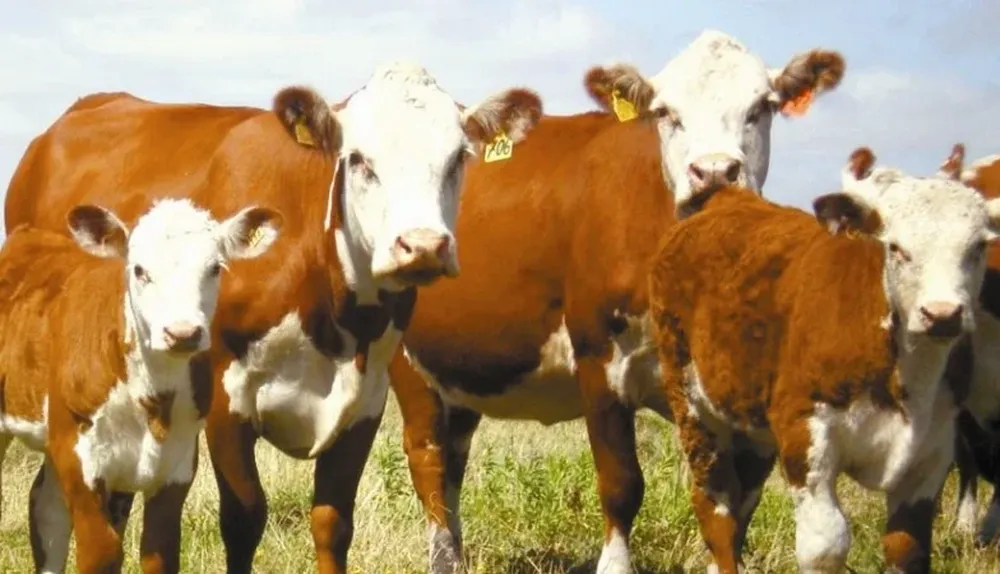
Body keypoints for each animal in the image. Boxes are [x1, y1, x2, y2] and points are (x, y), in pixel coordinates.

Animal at [0, 198, 281, 573]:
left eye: (215, 268)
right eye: (139, 270)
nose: (182, 333)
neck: (151, 400)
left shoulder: (176, 467)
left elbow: (159, 552)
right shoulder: (78, 457)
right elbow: (102, 552)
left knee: (46, 511)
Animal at [386, 30, 846, 573]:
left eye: (762, 106)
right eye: (666, 112)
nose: (714, 172)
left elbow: (739, 505)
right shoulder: (597, 357)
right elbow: (622, 483)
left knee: (453, 459)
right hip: (405, 361)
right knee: (428, 456)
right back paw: (442, 556)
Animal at [649, 145, 1000, 574]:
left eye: (978, 247)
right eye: (896, 248)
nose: (942, 314)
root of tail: (726, 199)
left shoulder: (932, 452)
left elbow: (908, 548)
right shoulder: (807, 436)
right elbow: (825, 546)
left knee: (742, 499)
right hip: (691, 404)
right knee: (715, 504)